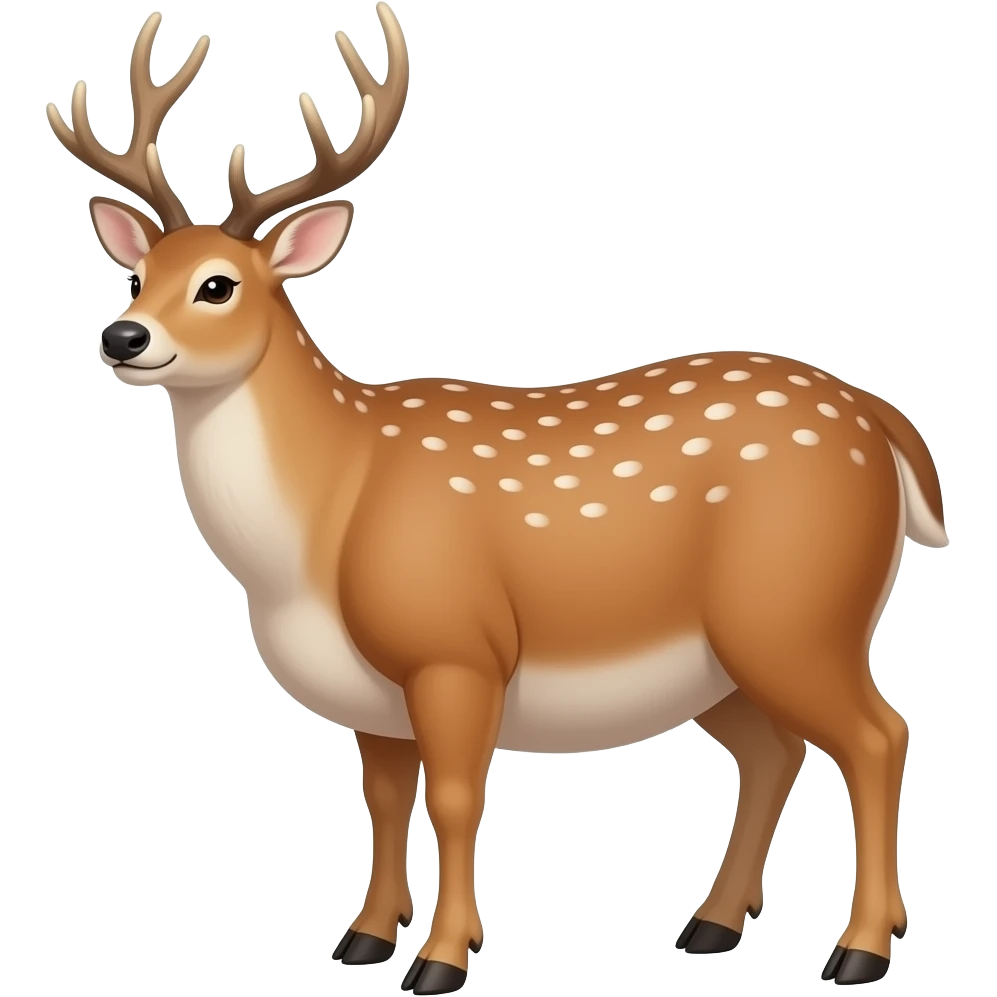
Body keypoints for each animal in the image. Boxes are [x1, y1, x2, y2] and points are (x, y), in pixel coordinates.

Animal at [46, 6, 945, 992]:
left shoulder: (455, 646)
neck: (319, 528)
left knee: (878, 734)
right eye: (140, 275)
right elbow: (382, 797)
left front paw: (441, 958)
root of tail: (880, 419)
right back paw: (711, 924)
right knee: (774, 749)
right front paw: (364, 937)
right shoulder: (371, 692)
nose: (122, 336)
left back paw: (859, 948)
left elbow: (454, 796)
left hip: (797, 609)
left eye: (219, 284)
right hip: (726, 653)